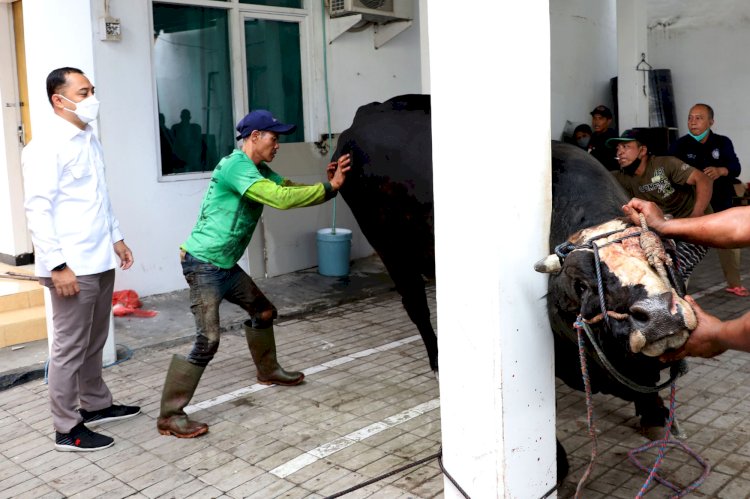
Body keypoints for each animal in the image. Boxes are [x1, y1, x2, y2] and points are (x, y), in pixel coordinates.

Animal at [332, 94, 704, 480]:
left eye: (665, 256)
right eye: (581, 284)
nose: (661, 315)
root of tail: (368, 112)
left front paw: (654, 411)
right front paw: (554, 461)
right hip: (391, 251)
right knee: (415, 306)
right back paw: (437, 362)